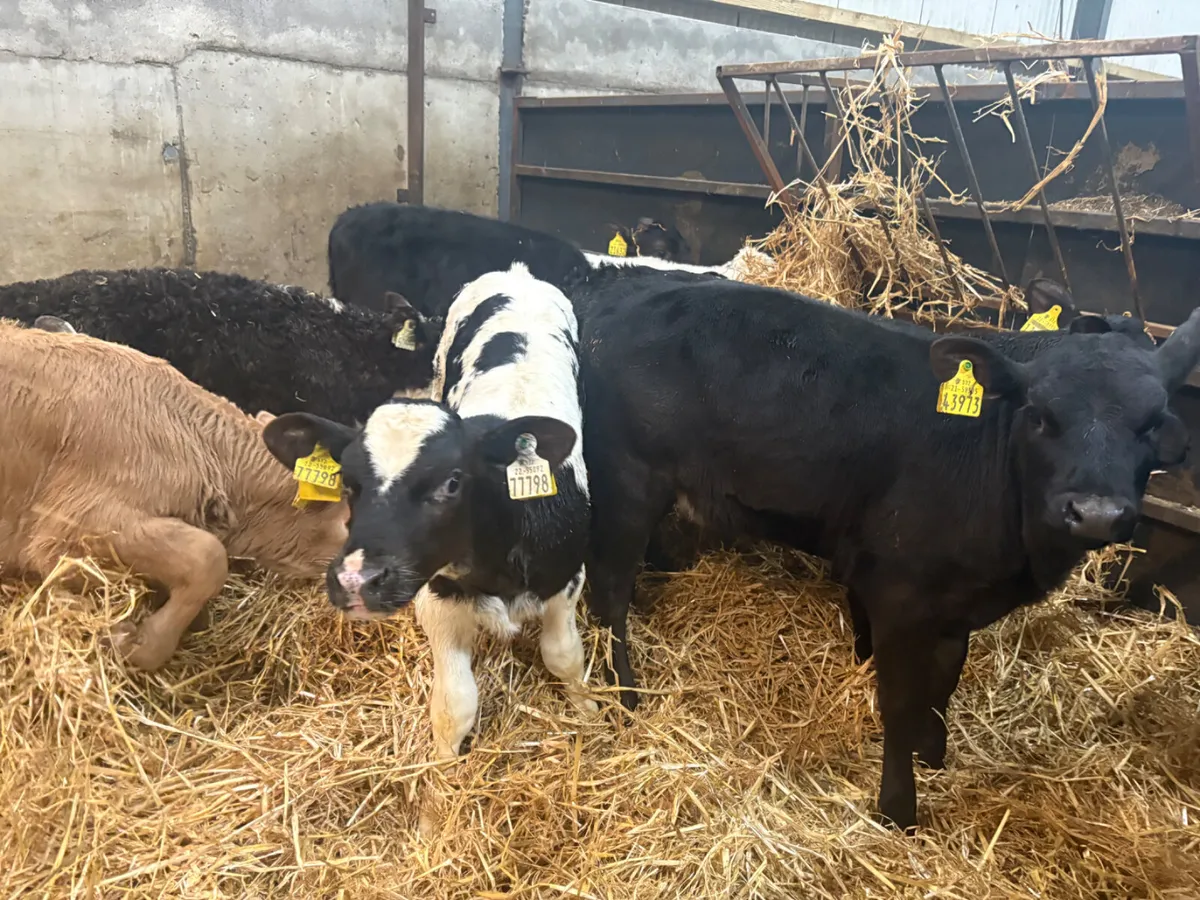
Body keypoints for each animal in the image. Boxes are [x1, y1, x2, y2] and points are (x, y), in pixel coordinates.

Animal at [262, 262, 594, 758]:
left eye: (452, 483)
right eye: (349, 482)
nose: (356, 580)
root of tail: (516, 272)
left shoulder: (568, 575)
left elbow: (564, 656)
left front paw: (589, 710)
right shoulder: (435, 596)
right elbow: (455, 703)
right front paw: (443, 766)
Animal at [572, 272, 1200, 831]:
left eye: (1153, 422)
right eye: (1041, 416)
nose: (1096, 512)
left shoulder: (955, 604)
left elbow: (943, 683)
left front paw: (934, 754)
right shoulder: (898, 594)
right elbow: (899, 703)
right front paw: (898, 808)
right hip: (626, 485)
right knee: (609, 596)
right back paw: (626, 695)